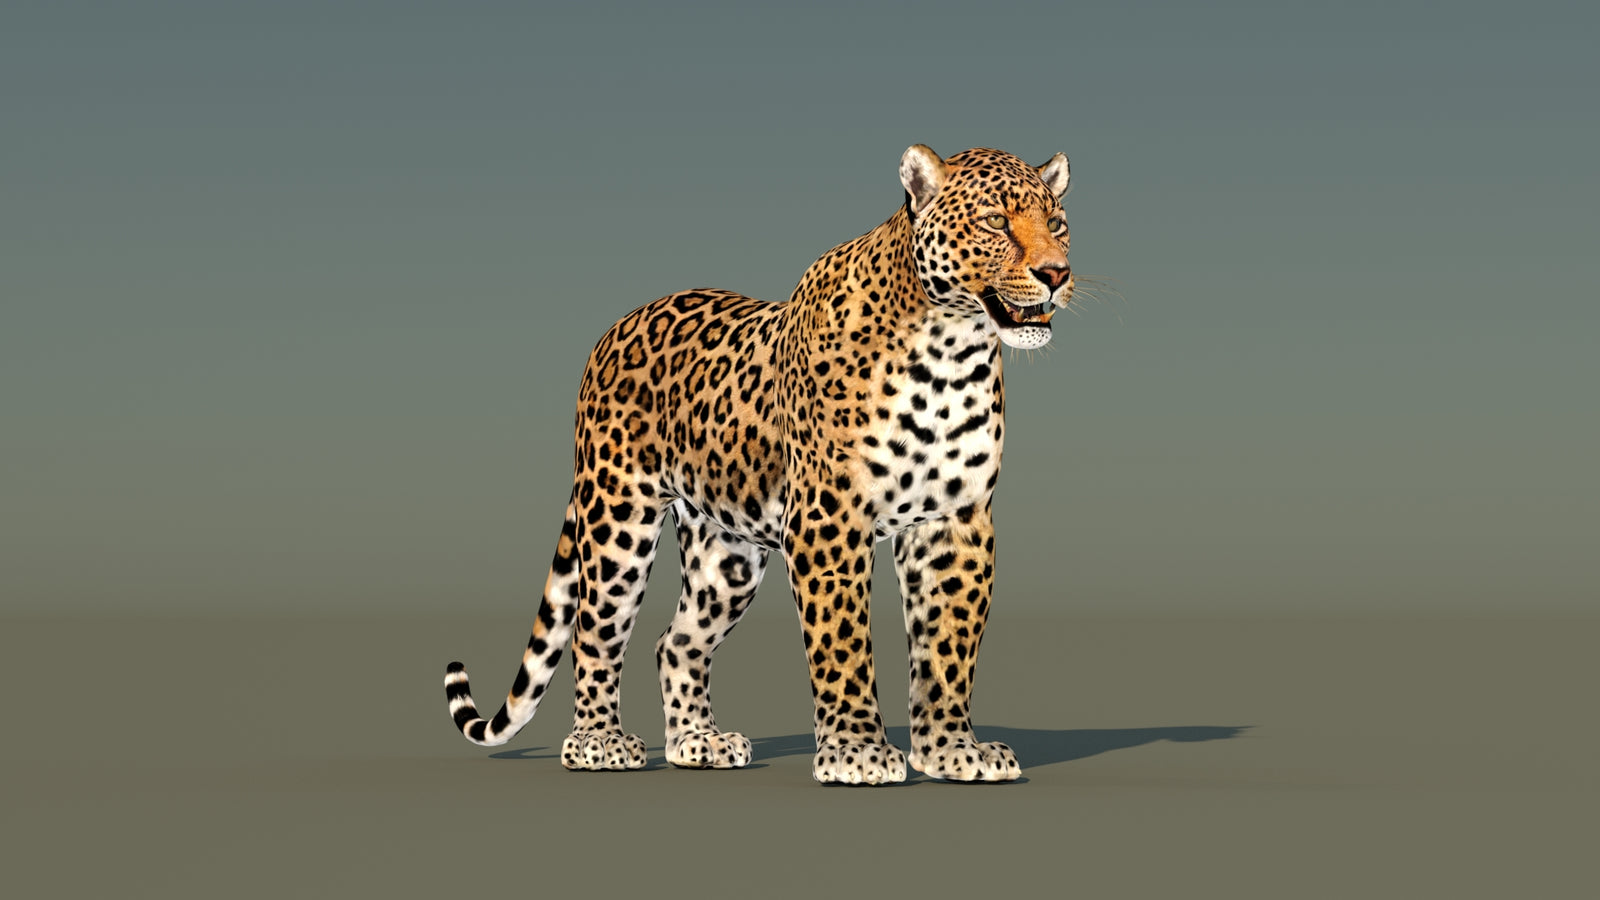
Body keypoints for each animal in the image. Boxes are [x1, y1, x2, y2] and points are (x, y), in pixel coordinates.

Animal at [444, 144, 1076, 784]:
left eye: (1057, 224)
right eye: (995, 222)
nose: (1056, 274)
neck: (951, 352)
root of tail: (614, 330)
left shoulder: (954, 521)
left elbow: (948, 643)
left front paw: (951, 750)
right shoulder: (829, 519)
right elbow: (843, 640)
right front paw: (857, 752)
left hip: (725, 553)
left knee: (675, 641)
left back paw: (698, 742)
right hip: (616, 518)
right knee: (594, 631)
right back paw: (599, 742)